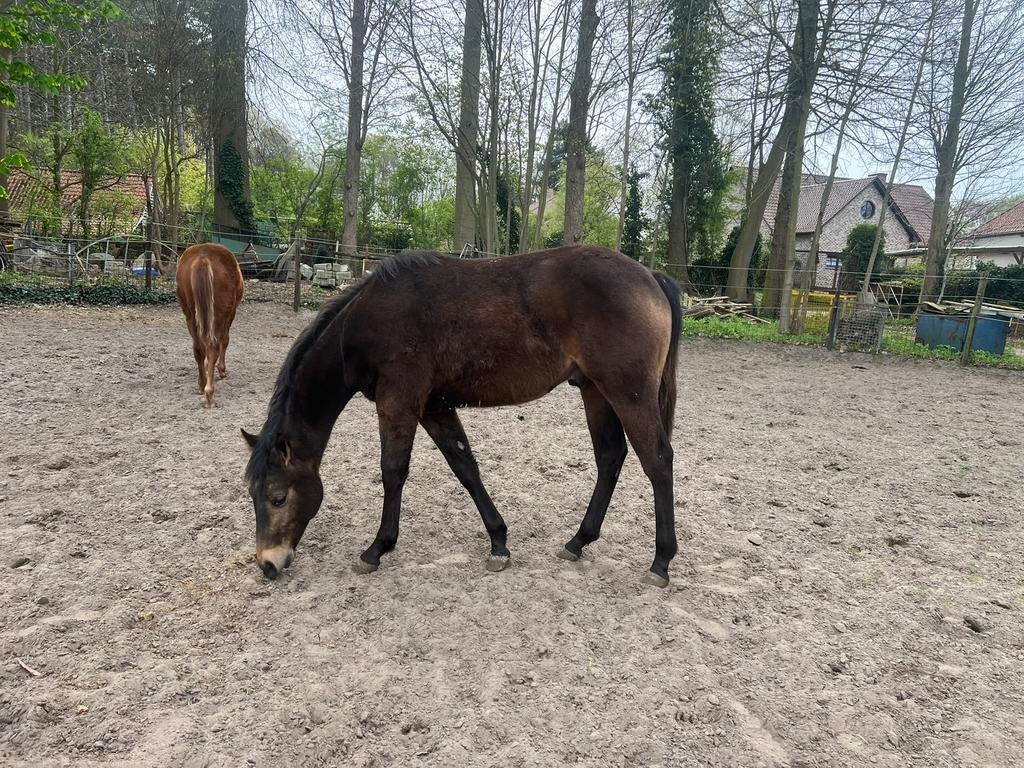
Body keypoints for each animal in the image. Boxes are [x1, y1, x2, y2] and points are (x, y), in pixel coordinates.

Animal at [175, 243, 245, 408]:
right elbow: (224, 341)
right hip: (218, 314)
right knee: (213, 346)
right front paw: (222, 370)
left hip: (190, 315)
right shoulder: (230, 313)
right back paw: (209, 394)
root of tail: (203, 257)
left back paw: (202, 385)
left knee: (199, 348)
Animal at [242, 245, 683, 586]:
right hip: (595, 391)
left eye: (278, 496)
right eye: (252, 494)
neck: (363, 322)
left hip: (628, 393)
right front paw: (499, 542)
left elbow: (393, 471)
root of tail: (651, 276)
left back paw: (660, 562)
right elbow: (464, 466)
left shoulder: (398, 400)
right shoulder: (434, 405)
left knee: (658, 461)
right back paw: (578, 541)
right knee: (610, 458)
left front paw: (377, 548)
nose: (268, 564)